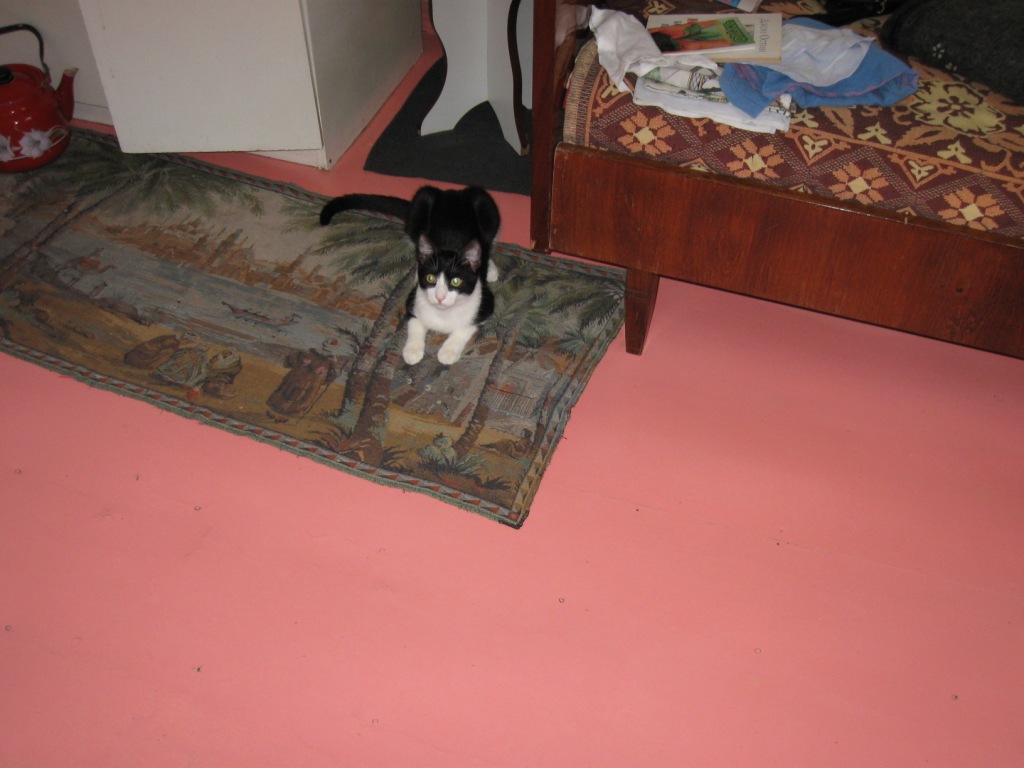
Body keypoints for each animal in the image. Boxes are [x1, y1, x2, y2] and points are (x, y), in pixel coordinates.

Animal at [320, 185, 500, 366]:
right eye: (430, 278)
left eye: (456, 281)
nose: (440, 297)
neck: (443, 314)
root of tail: (451, 192)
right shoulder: (413, 301)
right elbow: (415, 322)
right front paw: (412, 351)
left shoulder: (485, 304)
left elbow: (465, 328)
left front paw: (448, 352)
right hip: (421, 203)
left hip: (485, 204)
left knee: (488, 242)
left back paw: (491, 270)